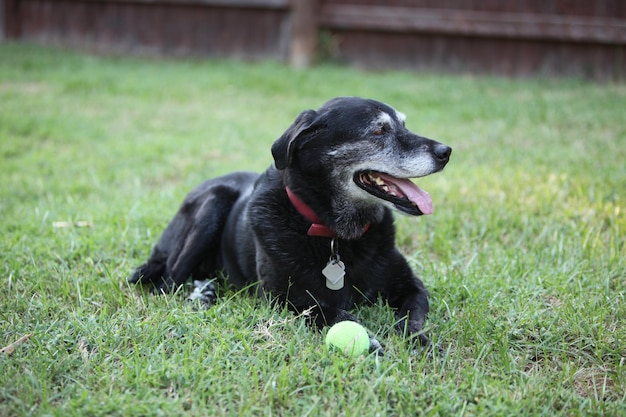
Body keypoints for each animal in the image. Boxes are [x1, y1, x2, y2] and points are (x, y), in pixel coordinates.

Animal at [128, 96, 448, 348]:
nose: (446, 152)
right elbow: (327, 312)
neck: (335, 235)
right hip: (212, 204)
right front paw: (367, 340)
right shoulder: (282, 300)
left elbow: (411, 318)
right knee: (167, 283)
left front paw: (419, 341)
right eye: (379, 130)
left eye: (404, 125)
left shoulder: (412, 286)